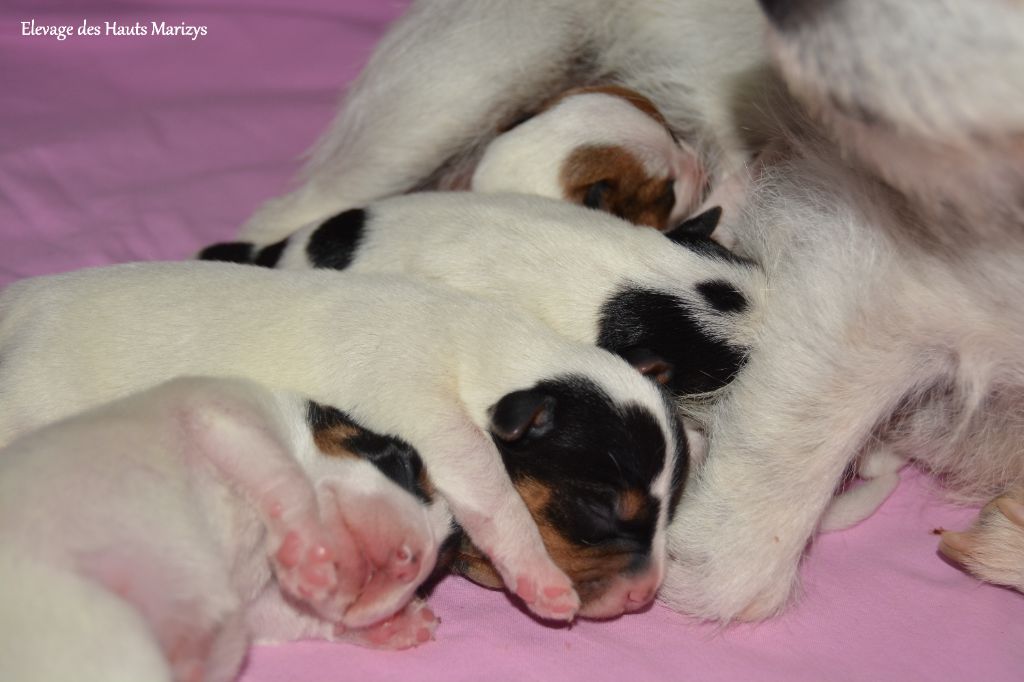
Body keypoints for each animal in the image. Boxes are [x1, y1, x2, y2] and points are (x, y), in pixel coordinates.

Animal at [0, 261, 688, 622]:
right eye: (598, 508)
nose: (646, 596)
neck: (486, 349)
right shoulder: (432, 419)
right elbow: (494, 492)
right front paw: (542, 578)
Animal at [0, 374, 438, 679]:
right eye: (402, 464)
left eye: (427, 583)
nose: (412, 562)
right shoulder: (227, 414)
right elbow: (286, 478)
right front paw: (314, 555)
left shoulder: (256, 607)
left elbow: (291, 616)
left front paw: (392, 625)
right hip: (106, 628)